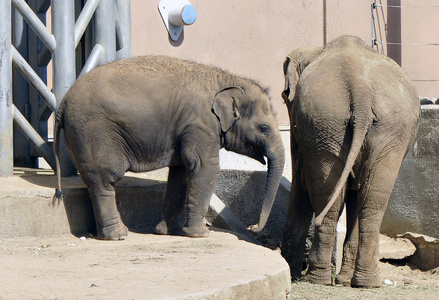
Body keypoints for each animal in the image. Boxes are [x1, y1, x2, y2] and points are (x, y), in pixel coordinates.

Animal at [54, 55, 286, 240]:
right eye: (264, 128)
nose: (253, 227)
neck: (228, 79)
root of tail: (63, 103)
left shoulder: (186, 130)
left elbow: (181, 173)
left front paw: (166, 231)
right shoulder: (200, 124)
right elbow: (205, 168)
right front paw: (200, 234)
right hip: (93, 132)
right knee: (104, 180)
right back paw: (118, 236)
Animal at [280, 36, 422, 288]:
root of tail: (361, 90)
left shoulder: (300, 128)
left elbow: (300, 184)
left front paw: (292, 270)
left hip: (325, 123)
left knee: (328, 195)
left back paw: (318, 278)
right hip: (385, 130)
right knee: (373, 201)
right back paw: (366, 281)